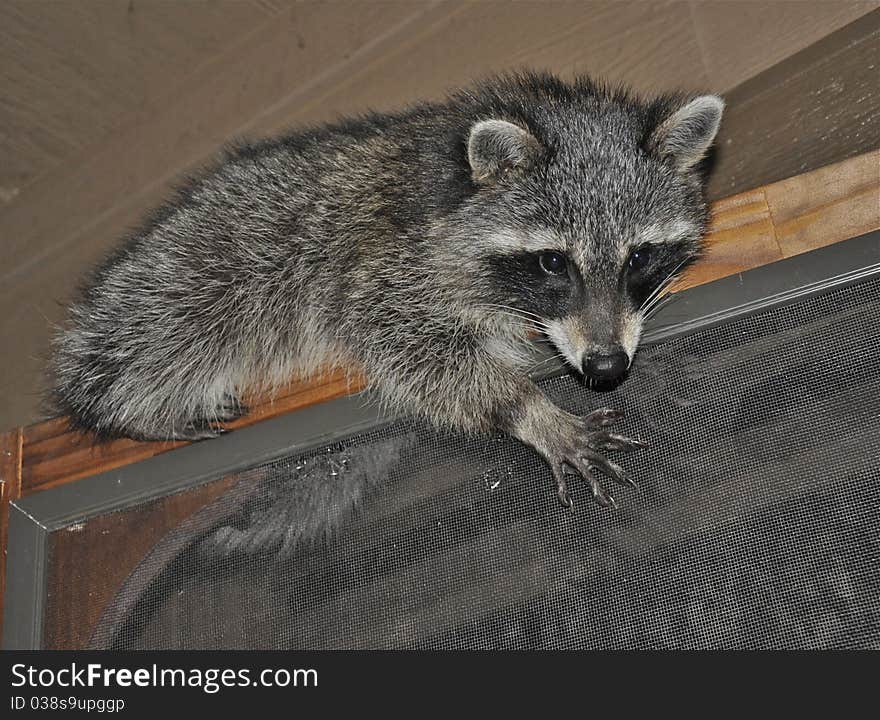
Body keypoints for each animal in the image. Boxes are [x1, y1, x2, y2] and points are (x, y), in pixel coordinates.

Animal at [51, 71, 720, 506]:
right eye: (555, 263)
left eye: (641, 256)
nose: (606, 366)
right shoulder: (386, 264)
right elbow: (410, 346)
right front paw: (529, 410)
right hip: (207, 259)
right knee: (164, 326)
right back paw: (122, 402)